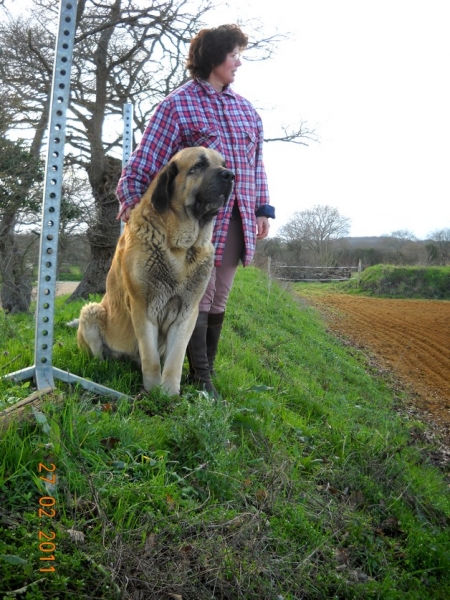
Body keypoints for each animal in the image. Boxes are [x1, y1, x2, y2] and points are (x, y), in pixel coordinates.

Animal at [72, 148, 234, 396]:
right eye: (199, 165)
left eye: (223, 164)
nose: (231, 175)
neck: (181, 247)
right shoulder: (143, 308)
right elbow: (151, 358)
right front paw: (152, 391)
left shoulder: (187, 313)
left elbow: (175, 359)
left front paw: (170, 393)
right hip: (91, 311)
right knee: (98, 356)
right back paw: (103, 371)